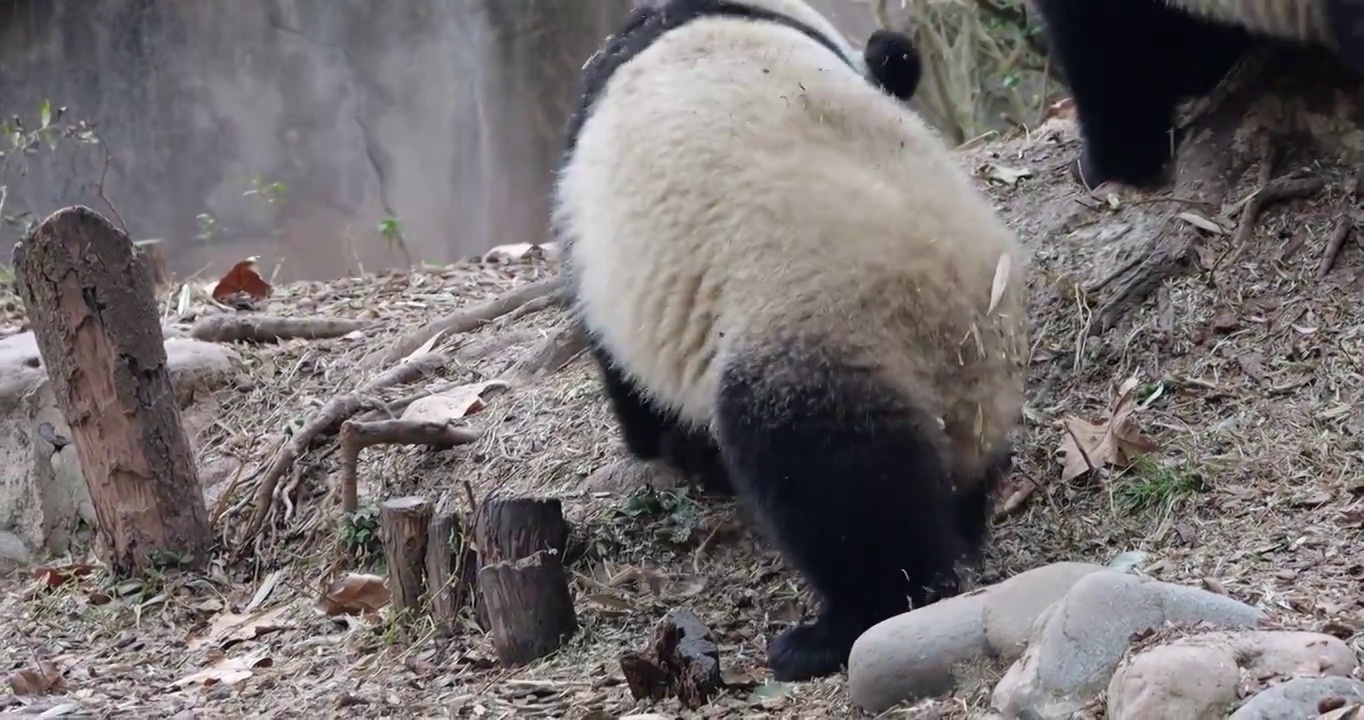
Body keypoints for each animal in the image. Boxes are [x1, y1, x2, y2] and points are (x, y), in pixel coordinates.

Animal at [548, 0, 1025, 684]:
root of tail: (947, 332)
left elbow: (629, 377)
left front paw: (679, 454)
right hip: (978, 381)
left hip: (816, 340)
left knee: (839, 489)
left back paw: (831, 631)